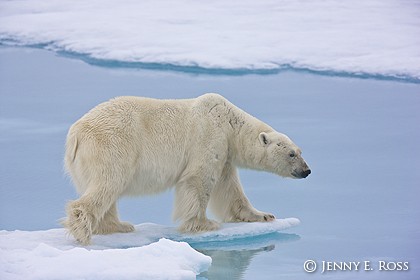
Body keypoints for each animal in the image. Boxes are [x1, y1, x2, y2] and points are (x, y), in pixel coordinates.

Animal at [63, 93, 312, 244]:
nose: (307, 171)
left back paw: (117, 226)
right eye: (292, 154)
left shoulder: (224, 151)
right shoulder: (209, 136)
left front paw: (263, 215)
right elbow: (199, 179)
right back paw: (84, 230)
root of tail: (76, 133)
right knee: (109, 182)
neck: (230, 122)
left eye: (300, 151)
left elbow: (229, 188)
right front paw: (204, 224)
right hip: (113, 145)